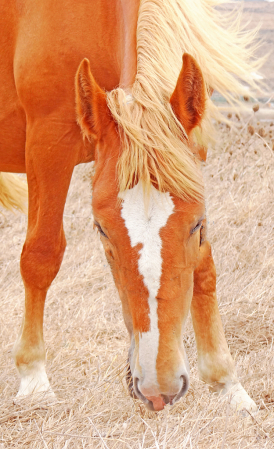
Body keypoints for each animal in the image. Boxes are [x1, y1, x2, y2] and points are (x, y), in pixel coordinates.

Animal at [0, 0, 262, 412]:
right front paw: (34, 379)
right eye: (101, 229)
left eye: (197, 224)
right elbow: (41, 255)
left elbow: (203, 268)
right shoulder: (48, 142)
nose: (159, 389)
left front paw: (228, 385)